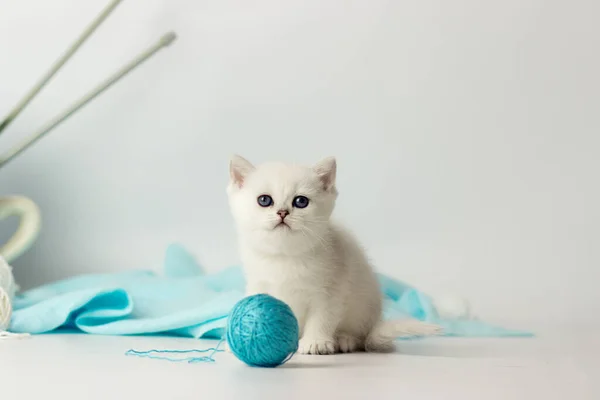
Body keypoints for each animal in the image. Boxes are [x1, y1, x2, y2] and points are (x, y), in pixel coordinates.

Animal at [225, 155, 440, 354]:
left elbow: (322, 316)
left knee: (359, 335)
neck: (285, 256)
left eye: (301, 201)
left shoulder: (331, 288)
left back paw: (345, 339)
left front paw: (315, 342)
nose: (283, 212)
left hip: (364, 306)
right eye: (264, 200)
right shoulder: (258, 282)